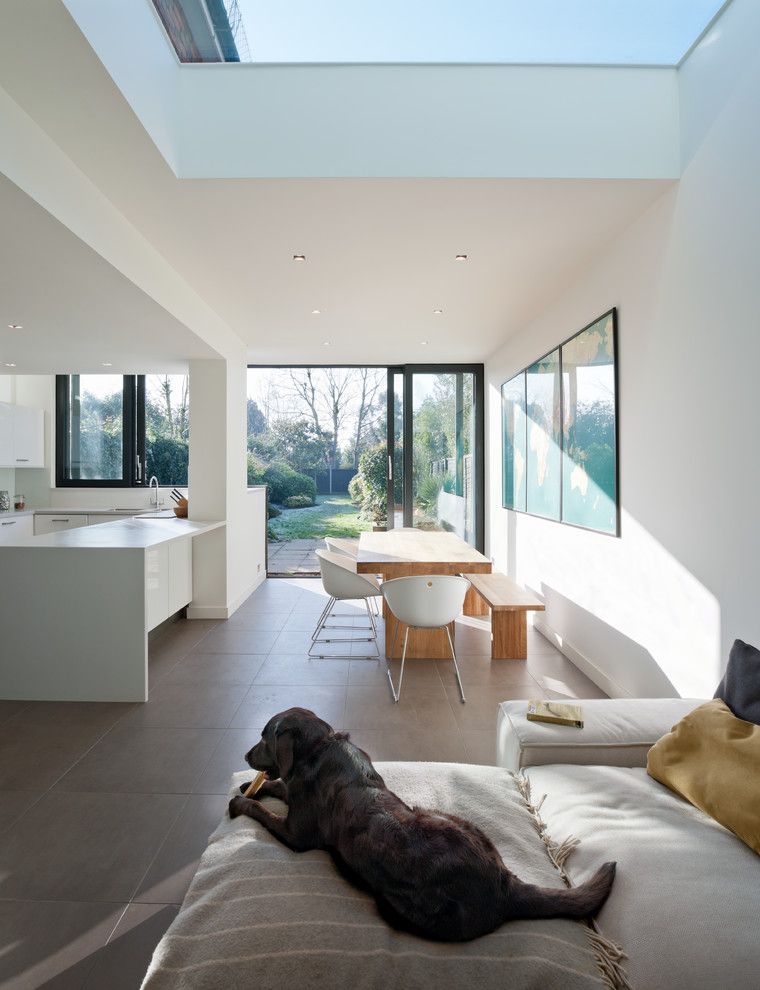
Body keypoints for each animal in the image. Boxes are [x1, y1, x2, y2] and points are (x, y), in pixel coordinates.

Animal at [229, 708, 616, 940]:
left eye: (264, 737)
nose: (245, 755)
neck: (319, 750)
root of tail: (506, 883)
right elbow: (278, 786)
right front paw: (250, 784)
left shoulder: (297, 834)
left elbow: (260, 809)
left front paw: (240, 801)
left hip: (402, 907)